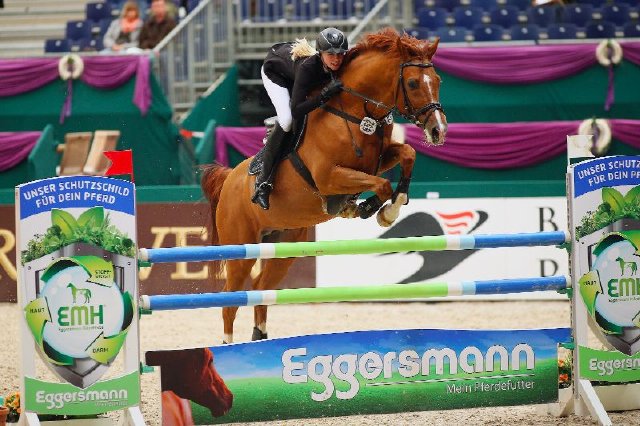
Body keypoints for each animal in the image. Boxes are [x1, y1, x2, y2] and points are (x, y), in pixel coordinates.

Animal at [202, 27, 448, 342]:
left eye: (438, 81)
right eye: (414, 83)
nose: (438, 130)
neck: (357, 110)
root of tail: (229, 179)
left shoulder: (376, 161)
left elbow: (408, 154)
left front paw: (389, 207)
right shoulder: (329, 176)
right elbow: (381, 184)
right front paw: (371, 209)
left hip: (284, 244)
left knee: (260, 289)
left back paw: (260, 337)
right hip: (241, 246)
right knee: (230, 299)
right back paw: (227, 345)